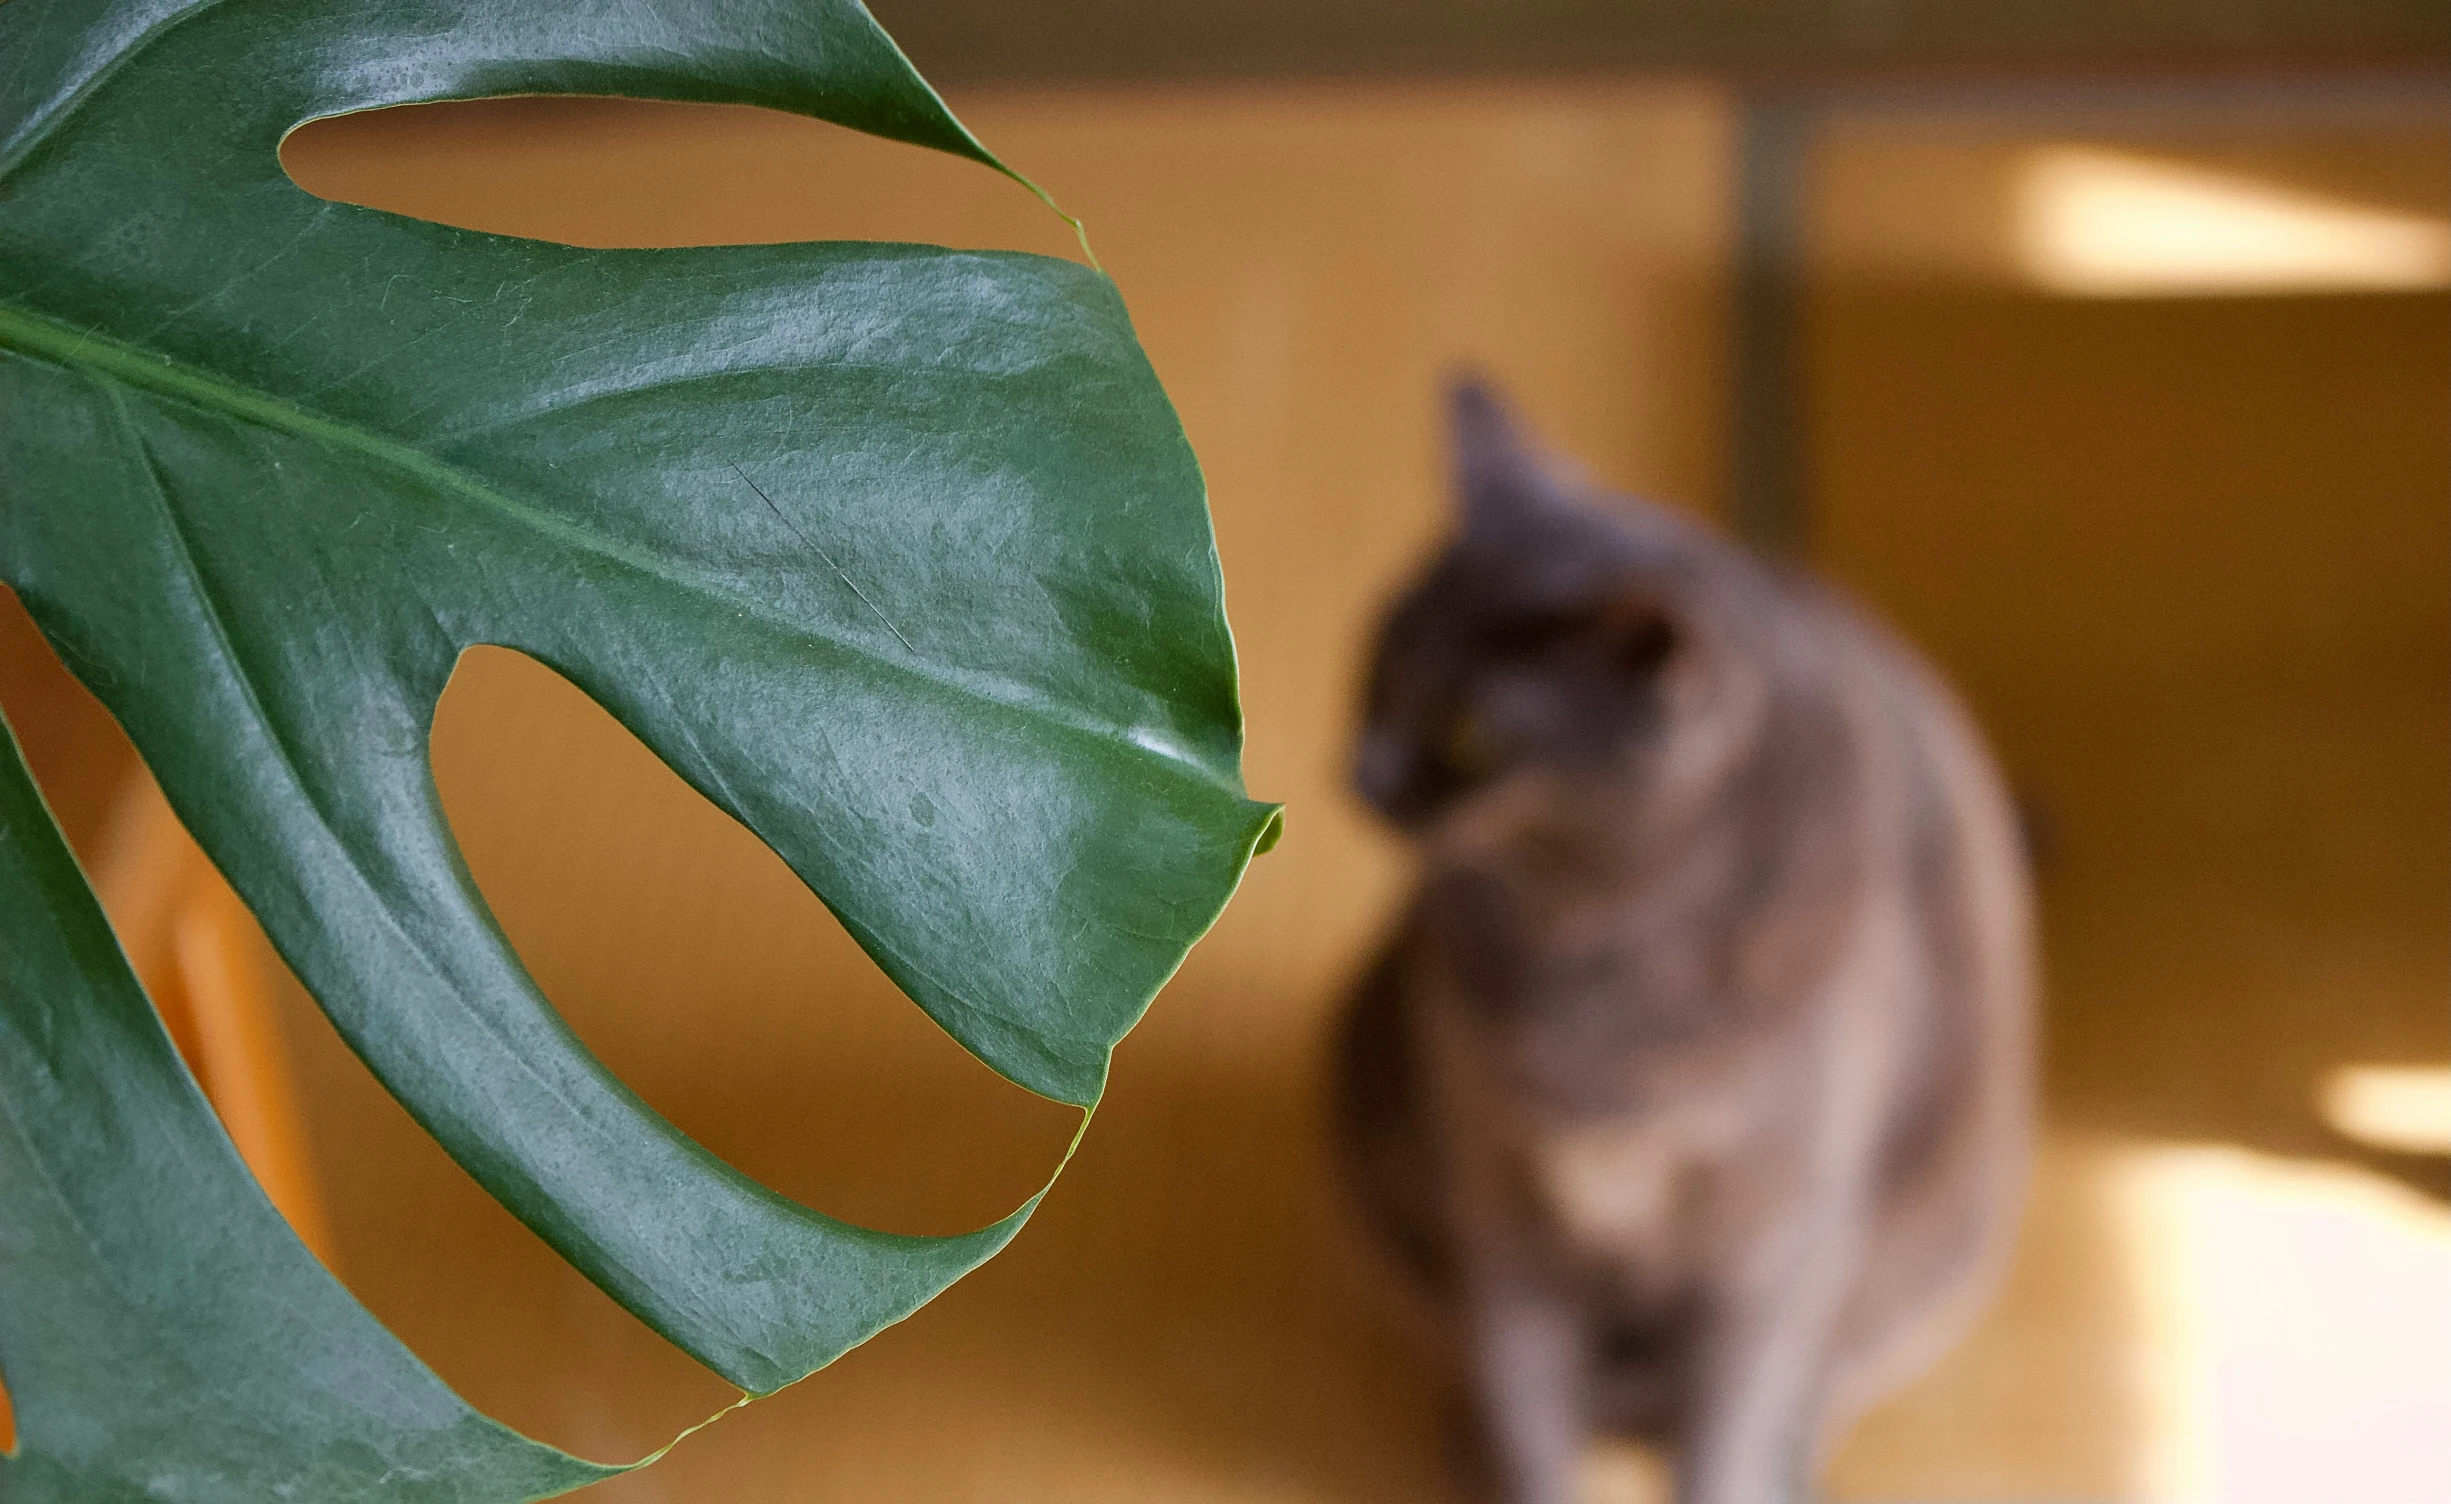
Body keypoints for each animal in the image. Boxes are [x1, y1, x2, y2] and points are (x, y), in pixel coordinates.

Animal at [1333, 382, 2039, 1499]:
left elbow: (1728, 1425)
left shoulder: (1767, 1249)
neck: (1589, 940)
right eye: (1380, 665)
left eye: (1469, 736)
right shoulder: (1501, 1221)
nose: (1362, 771)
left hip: (1937, 1247)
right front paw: (1514, 1463)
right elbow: (1525, 1408)